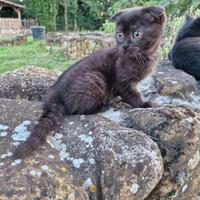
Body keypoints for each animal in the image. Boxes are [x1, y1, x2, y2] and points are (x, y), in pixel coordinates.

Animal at [13, 5, 167, 159]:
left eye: (136, 34)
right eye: (120, 36)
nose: (124, 46)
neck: (144, 56)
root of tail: (53, 96)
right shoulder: (122, 81)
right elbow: (132, 94)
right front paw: (143, 104)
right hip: (96, 78)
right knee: (75, 109)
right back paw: (102, 107)